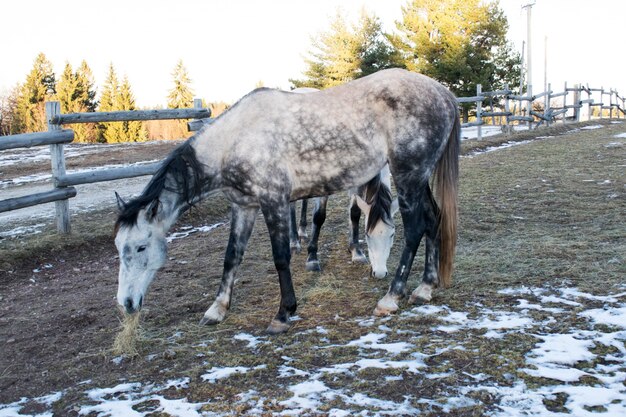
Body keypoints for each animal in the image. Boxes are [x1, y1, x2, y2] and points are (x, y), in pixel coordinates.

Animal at [113, 69, 458, 334]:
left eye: (141, 247)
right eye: (119, 247)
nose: (126, 304)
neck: (237, 139)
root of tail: (444, 93)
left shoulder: (274, 202)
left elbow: (281, 257)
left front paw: (283, 314)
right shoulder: (244, 207)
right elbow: (231, 257)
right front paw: (217, 309)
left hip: (408, 175)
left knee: (415, 228)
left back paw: (390, 298)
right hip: (419, 177)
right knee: (433, 219)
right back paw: (424, 288)